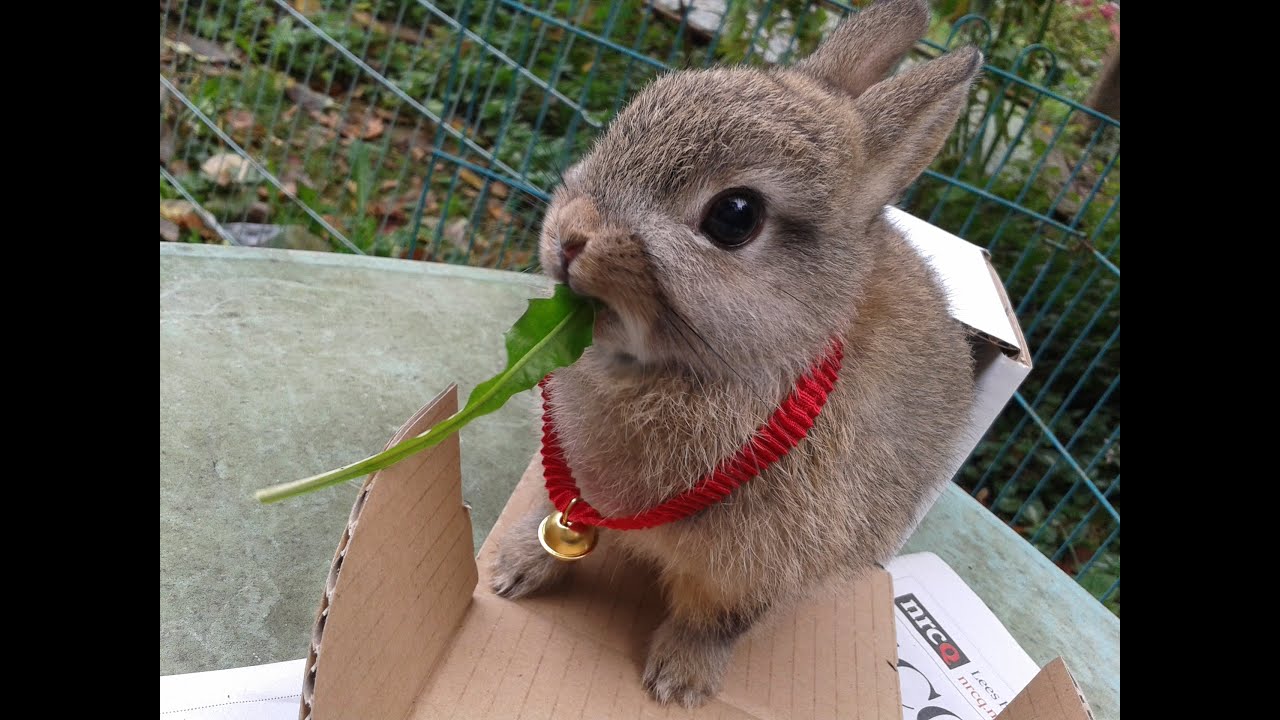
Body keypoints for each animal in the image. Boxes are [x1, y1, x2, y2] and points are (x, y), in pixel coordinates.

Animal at [486, 0, 977, 707]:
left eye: (734, 216)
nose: (572, 235)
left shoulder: (752, 573)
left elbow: (717, 622)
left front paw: (678, 683)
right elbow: (563, 521)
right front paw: (513, 568)